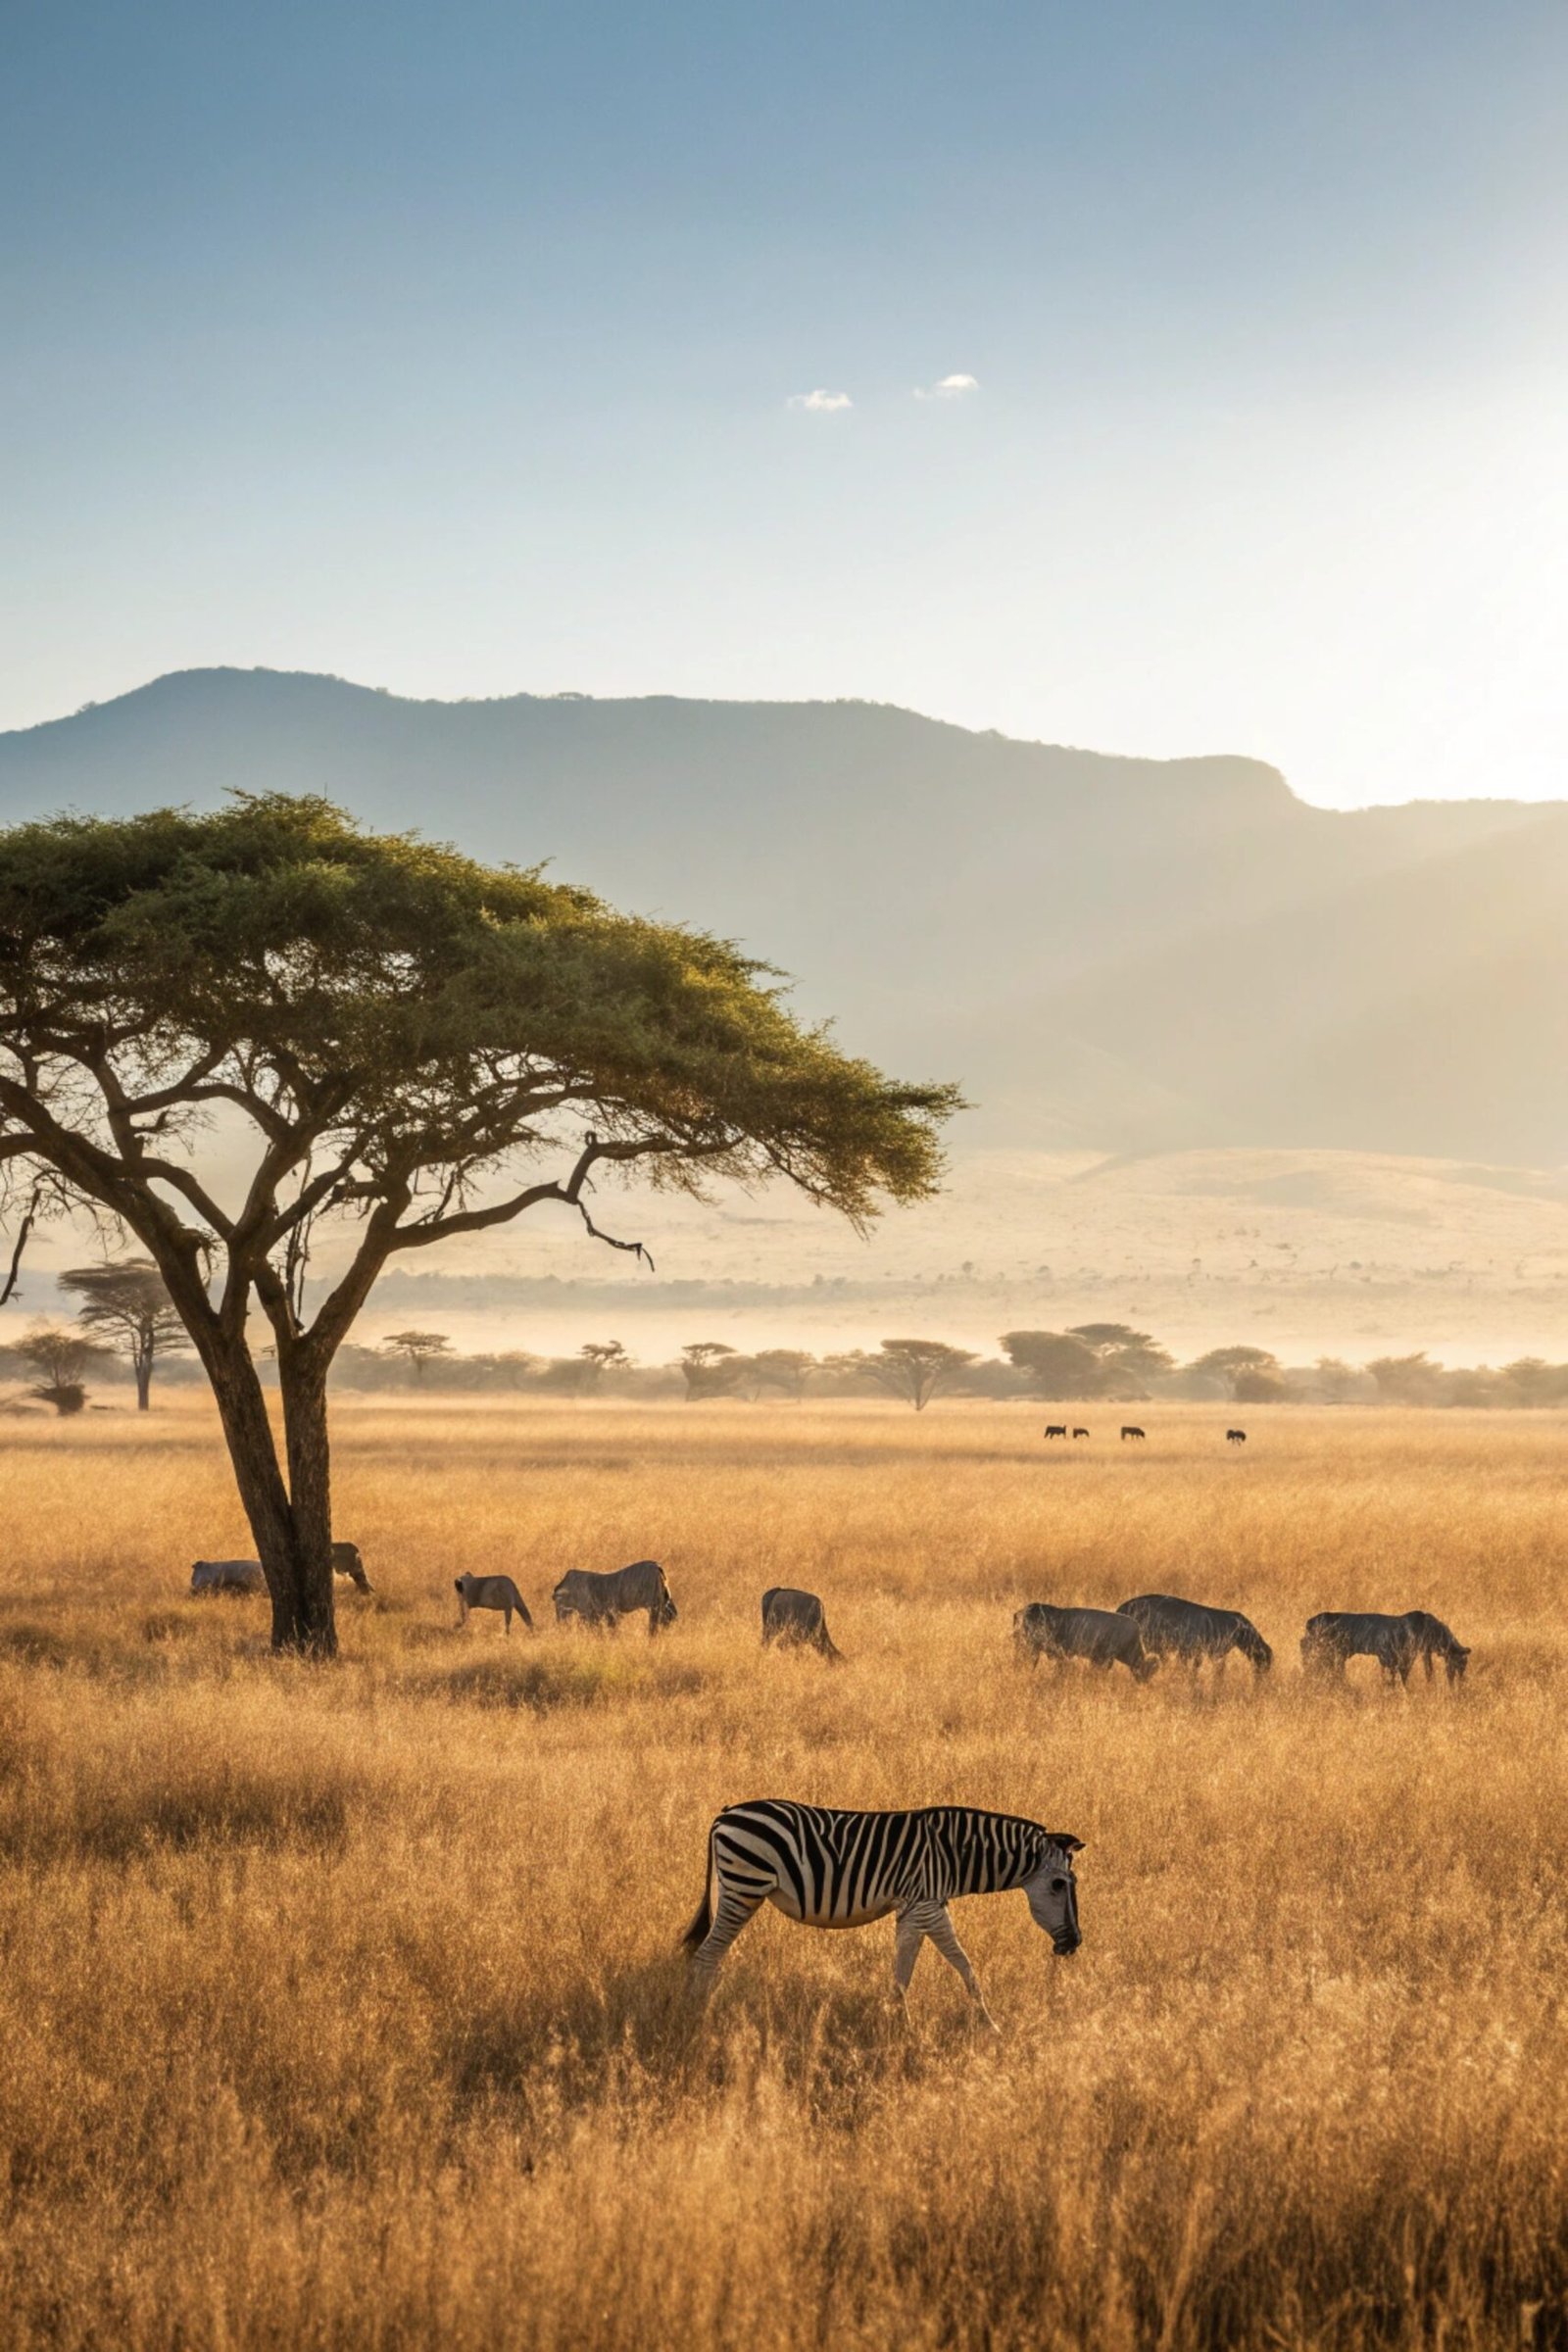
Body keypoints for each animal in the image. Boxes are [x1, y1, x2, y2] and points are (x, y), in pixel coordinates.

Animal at [681, 1800, 1083, 2028]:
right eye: (1059, 1885)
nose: (1074, 1943)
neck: (954, 1855)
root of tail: (725, 1815)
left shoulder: (917, 1910)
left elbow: (908, 1973)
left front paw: (896, 2022)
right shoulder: (926, 1906)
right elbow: (962, 1966)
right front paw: (988, 2026)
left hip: (736, 1888)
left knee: (707, 1955)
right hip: (744, 1888)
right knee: (706, 1956)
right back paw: (701, 2019)